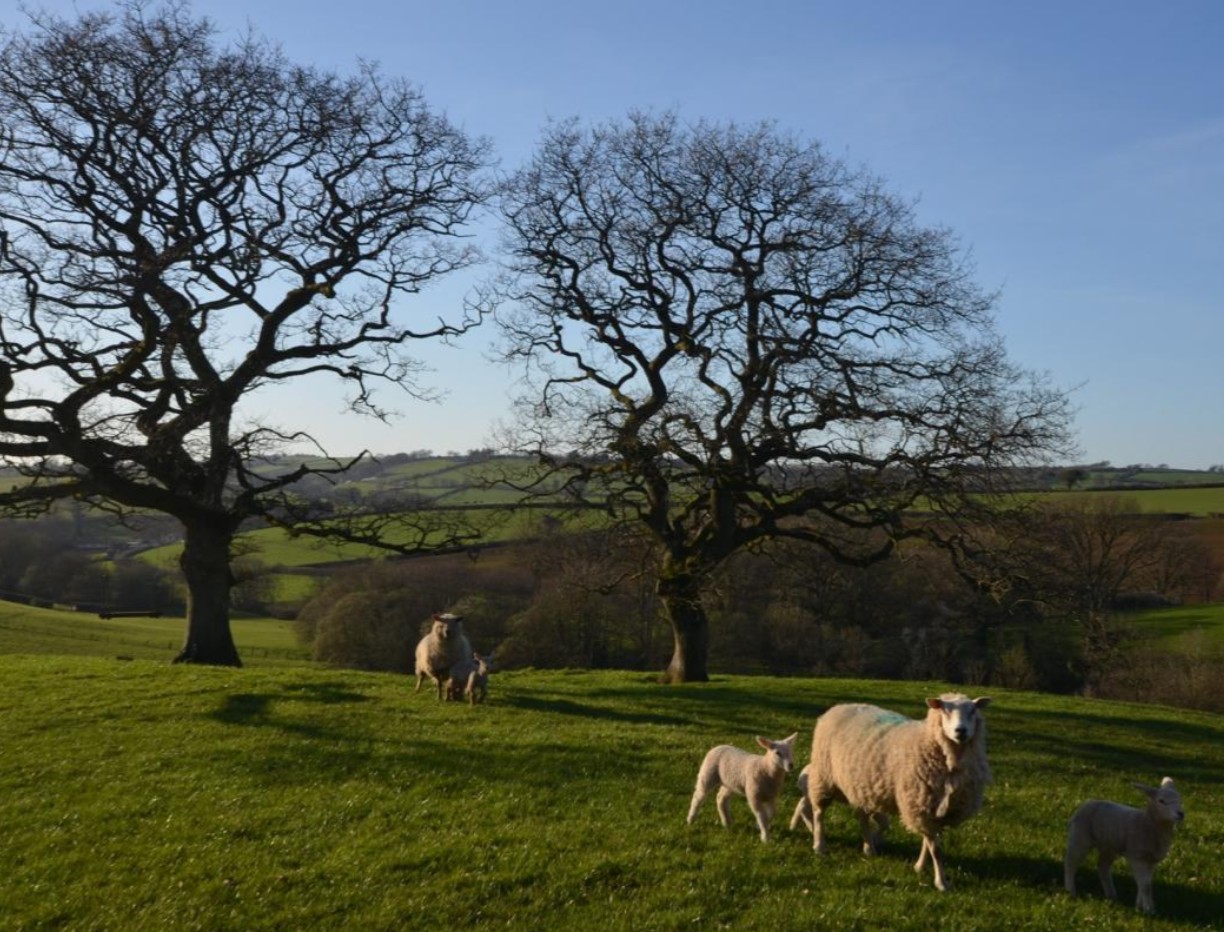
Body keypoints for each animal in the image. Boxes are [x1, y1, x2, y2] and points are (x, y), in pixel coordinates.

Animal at [802, 695, 993, 891]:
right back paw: (820, 845)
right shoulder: (920, 804)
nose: (961, 731)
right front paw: (941, 882)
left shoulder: (935, 809)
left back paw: (870, 846)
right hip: (824, 776)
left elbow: (929, 842)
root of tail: (840, 706)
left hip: (859, 786)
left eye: (973, 711)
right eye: (944, 710)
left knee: (862, 816)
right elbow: (936, 849)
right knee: (819, 811)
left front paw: (920, 866)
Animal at [1062, 774, 1184, 911]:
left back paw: (1111, 895)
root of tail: (1087, 803)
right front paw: (1149, 909)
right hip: (1080, 837)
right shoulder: (1137, 856)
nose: (1181, 814)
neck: (1148, 823)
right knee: (1070, 862)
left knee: (1102, 866)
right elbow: (1146, 885)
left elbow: (1144, 883)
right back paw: (1070, 890)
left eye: (1180, 799)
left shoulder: (1151, 860)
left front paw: (1139, 905)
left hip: (1109, 846)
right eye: (1161, 801)